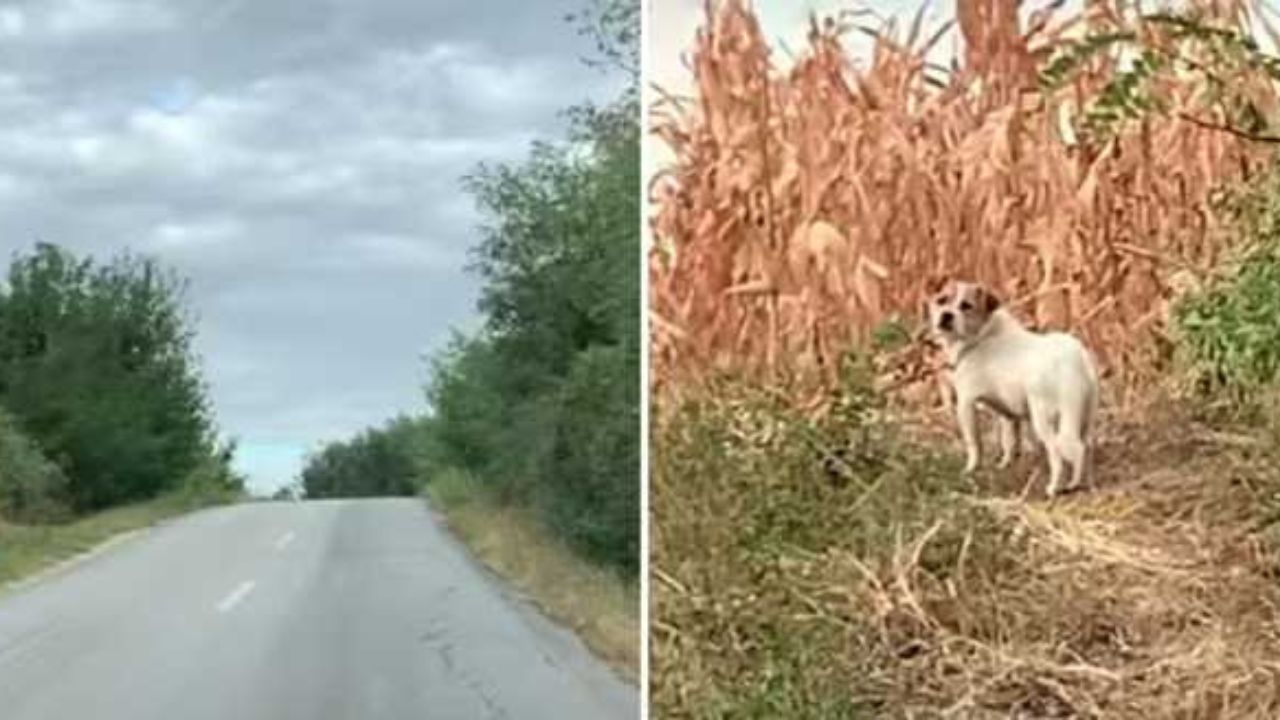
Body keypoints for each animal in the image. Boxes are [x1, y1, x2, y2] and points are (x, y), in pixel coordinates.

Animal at [921, 279, 1100, 491]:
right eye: (941, 300)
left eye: (966, 306)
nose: (946, 315)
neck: (981, 335)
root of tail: (1076, 358)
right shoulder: (1007, 413)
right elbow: (1009, 441)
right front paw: (1006, 464)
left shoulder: (966, 403)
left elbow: (974, 444)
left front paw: (971, 469)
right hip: (1084, 417)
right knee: (1083, 448)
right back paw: (1078, 483)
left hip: (1044, 419)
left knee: (1057, 452)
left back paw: (1053, 487)